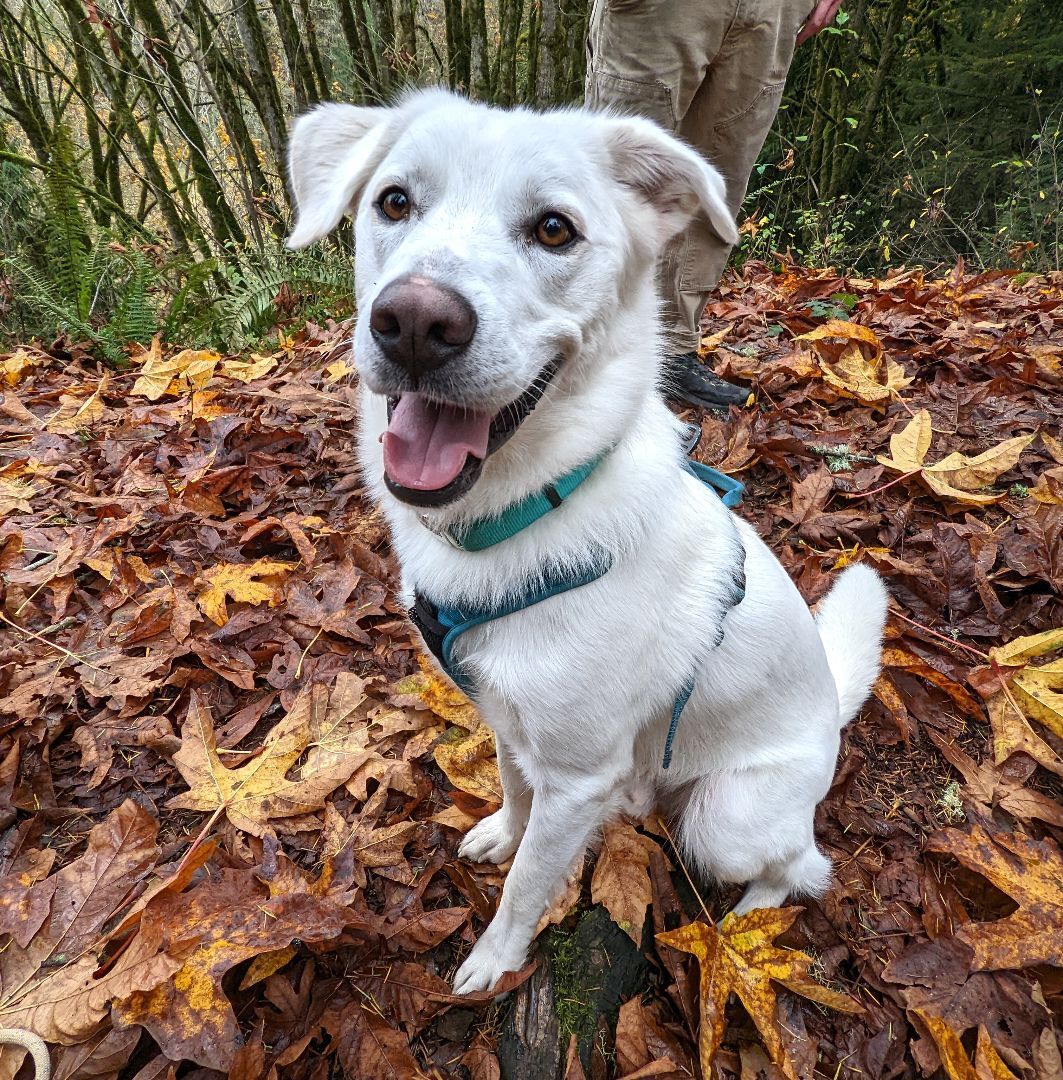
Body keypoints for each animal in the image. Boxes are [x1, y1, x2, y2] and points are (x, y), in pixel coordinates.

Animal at [285, 90, 890, 993]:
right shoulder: (505, 720)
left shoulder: (576, 781)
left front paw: (493, 961)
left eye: (553, 229)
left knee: (801, 865)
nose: (415, 321)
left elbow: (528, 886)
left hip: (725, 819)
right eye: (394, 202)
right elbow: (512, 791)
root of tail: (829, 718)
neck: (523, 512)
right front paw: (500, 833)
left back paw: (748, 923)